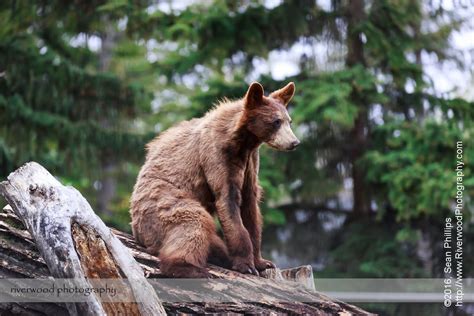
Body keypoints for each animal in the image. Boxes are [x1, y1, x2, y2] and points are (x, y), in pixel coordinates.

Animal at [131, 81, 298, 276]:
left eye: (289, 121)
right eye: (276, 121)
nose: (294, 143)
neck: (243, 142)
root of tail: (137, 233)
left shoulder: (250, 163)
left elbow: (250, 207)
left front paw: (262, 262)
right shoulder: (217, 155)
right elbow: (228, 199)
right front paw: (246, 265)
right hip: (160, 203)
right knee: (193, 222)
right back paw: (190, 268)